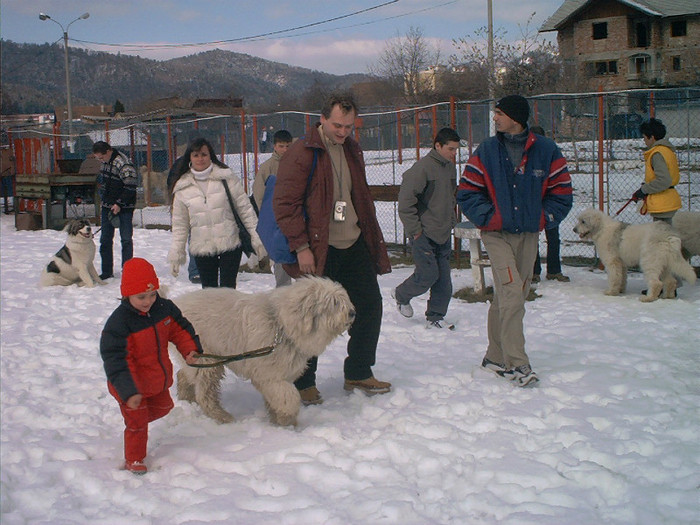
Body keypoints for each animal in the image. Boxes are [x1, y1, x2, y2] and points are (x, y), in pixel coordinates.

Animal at [170, 274, 356, 426]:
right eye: (334, 302)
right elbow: (289, 397)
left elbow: (276, 399)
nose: (353, 313)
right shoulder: (269, 375)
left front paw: (280, 422)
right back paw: (222, 416)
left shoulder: (279, 374)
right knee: (205, 393)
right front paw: (287, 420)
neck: (281, 325)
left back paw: (187, 399)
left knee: (183, 375)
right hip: (207, 360)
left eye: (342, 299)